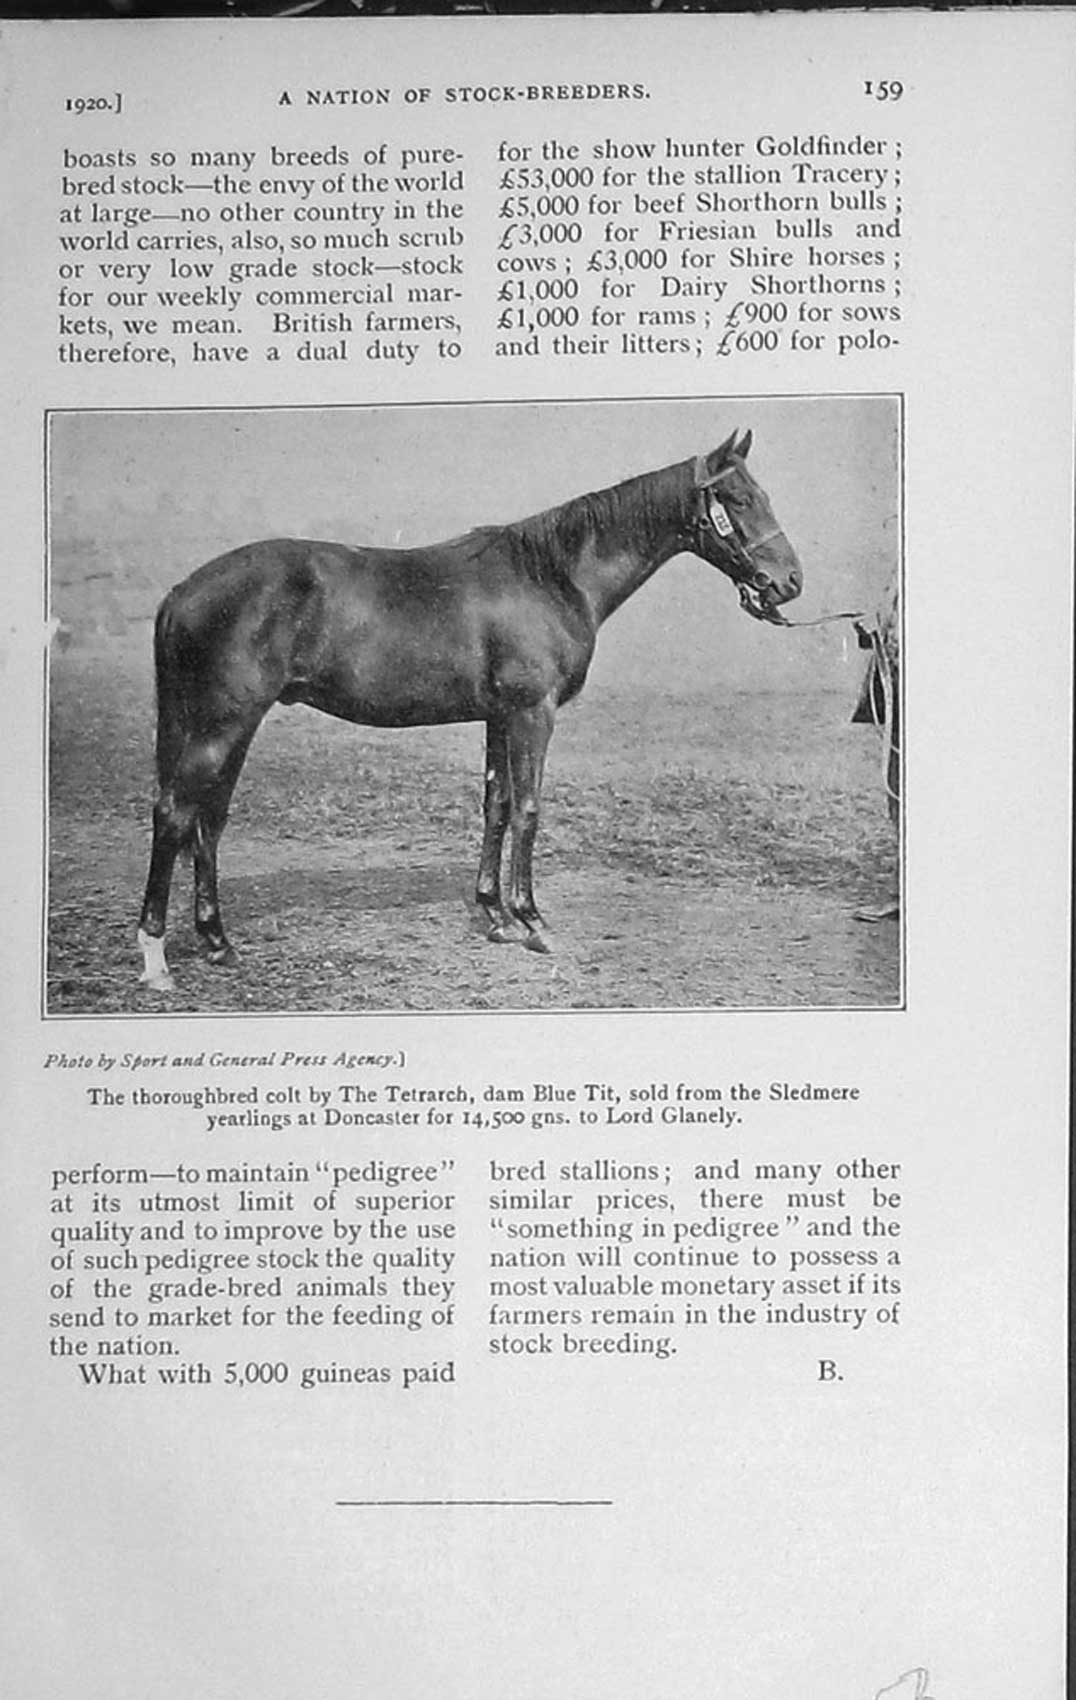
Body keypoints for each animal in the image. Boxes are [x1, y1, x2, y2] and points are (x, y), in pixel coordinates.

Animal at [136, 428, 803, 991]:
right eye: (739, 498)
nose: (789, 582)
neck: (552, 575)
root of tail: (180, 592)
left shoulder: (499, 717)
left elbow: (497, 805)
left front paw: (496, 915)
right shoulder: (534, 712)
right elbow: (529, 808)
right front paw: (533, 921)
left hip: (234, 726)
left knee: (209, 820)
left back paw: (218, 942)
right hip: (223, 723)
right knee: (174, 814)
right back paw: (156, 959)